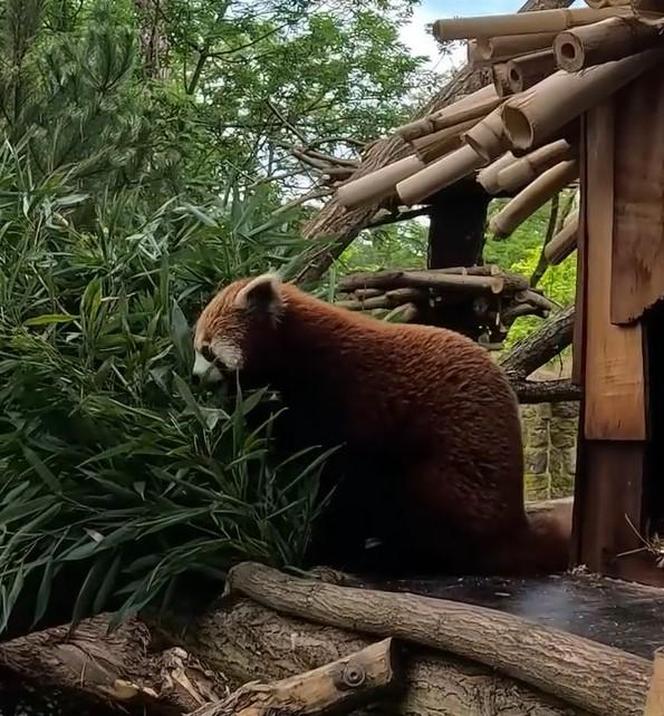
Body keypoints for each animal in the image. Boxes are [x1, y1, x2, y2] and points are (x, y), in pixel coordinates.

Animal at [192, 272, 572, 576]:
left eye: (208, 351)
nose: (194, 378)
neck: (295, 346)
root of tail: (513, 524)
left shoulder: (340, 398)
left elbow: (338, 480)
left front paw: (324, 548)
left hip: (448, 474)